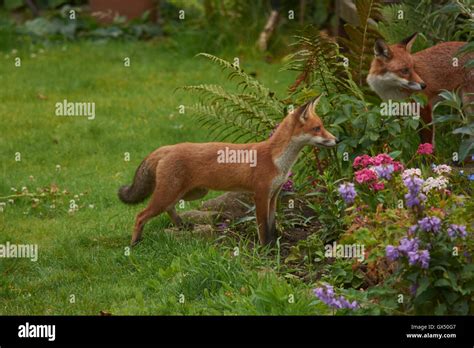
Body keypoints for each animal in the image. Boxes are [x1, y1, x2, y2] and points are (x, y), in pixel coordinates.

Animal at [118, 96, 336, 246]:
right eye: (317, 128)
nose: (337, 140)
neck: (277, 160)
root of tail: (167, 147)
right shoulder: (260, 195)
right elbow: (263, 228)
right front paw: (266, 249)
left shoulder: (274, 196)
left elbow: (272, 225)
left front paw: (274, 245)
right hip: (170, 193)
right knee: (141, 215)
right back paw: (135, 243)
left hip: (190, 193)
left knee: (169, 208)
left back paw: (181, 225)